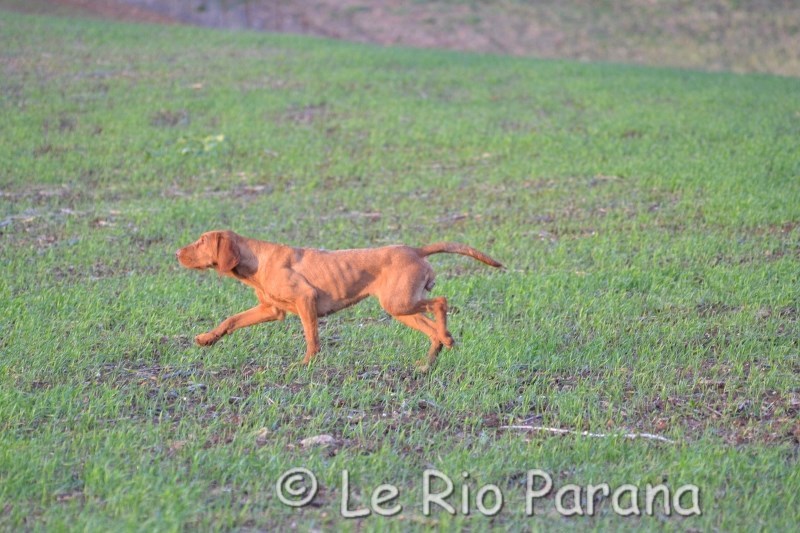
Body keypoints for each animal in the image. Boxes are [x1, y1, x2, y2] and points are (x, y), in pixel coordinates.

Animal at [176, 230, 502, 371]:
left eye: (201, 241)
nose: (176, 253)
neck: (256, 260)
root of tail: (415, 249)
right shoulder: (272, 309)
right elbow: (230, 320)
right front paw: (207, 339)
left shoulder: (305, 299)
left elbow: (311, 338)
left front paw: (306, 364)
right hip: (401, 306)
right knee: (431, 328)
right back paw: (428, 361)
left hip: (399, 303)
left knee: (441, 302)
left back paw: (447, 338)